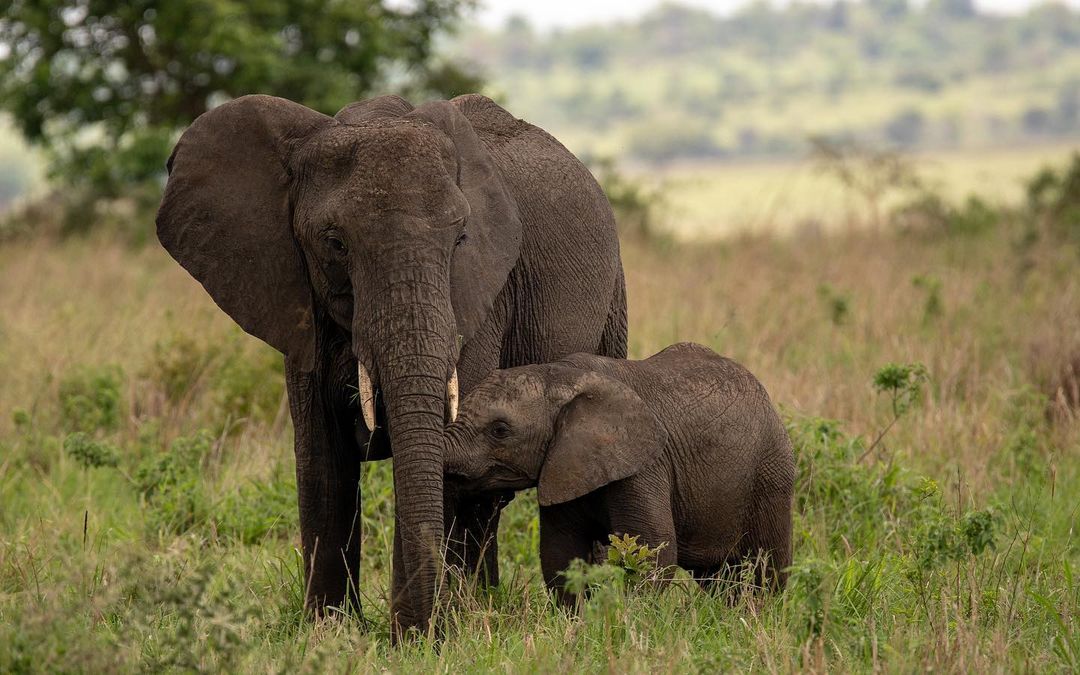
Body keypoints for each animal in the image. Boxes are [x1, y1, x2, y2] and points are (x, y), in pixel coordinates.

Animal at [153, 92, 626, 635]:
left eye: (460, 240)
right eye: (335, 243)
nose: (422, 628)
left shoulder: (481, 295)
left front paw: (418, 637)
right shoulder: (298, 303)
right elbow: (321, 462)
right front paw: (330, 633)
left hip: (613, 298)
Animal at [442, 341, 799, 600]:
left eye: (500, 430)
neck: (559, 376)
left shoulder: (645, 465)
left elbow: (653, 550)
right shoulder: (563, 464)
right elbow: (561, 553)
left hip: (771, 474)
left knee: (766, 566)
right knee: (718, 577)